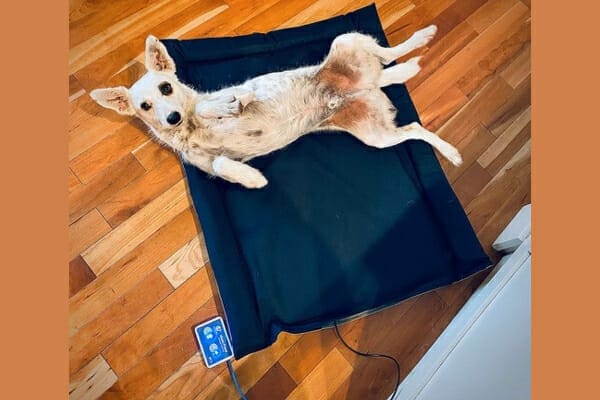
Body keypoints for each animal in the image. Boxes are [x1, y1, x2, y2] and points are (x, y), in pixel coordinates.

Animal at [91, 26, 462, 189]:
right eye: (145, 105)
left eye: (166, 87)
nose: (171, 117)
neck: (191, 131)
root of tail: (368, 84)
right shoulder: (212, 164)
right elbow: (223, 163)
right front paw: (251, 178)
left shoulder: (238, 94)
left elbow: (212, 105)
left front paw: (219, 108)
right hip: (377, 136)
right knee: (414, 127)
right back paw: (451, 152)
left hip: (345, 39)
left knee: (388, 52)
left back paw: (421, 37)